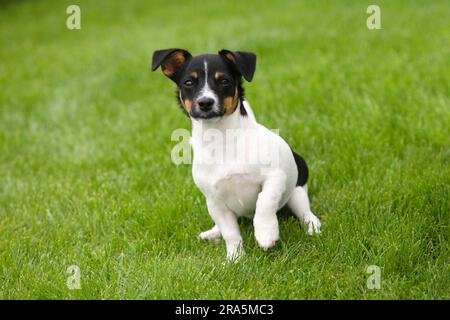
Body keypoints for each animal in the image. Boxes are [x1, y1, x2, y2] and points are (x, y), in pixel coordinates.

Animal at [153, 48, 322, 262]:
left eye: (224, 81)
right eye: (189, 82)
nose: (205, 102)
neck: (222, 139)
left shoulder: (275, 177)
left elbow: (264, 202)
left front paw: (266, 233)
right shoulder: (215, 202)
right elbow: (230, 232)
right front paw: (235, 258)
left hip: (296, 190)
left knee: (304, 210)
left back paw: (312, 226)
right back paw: (212, 233)